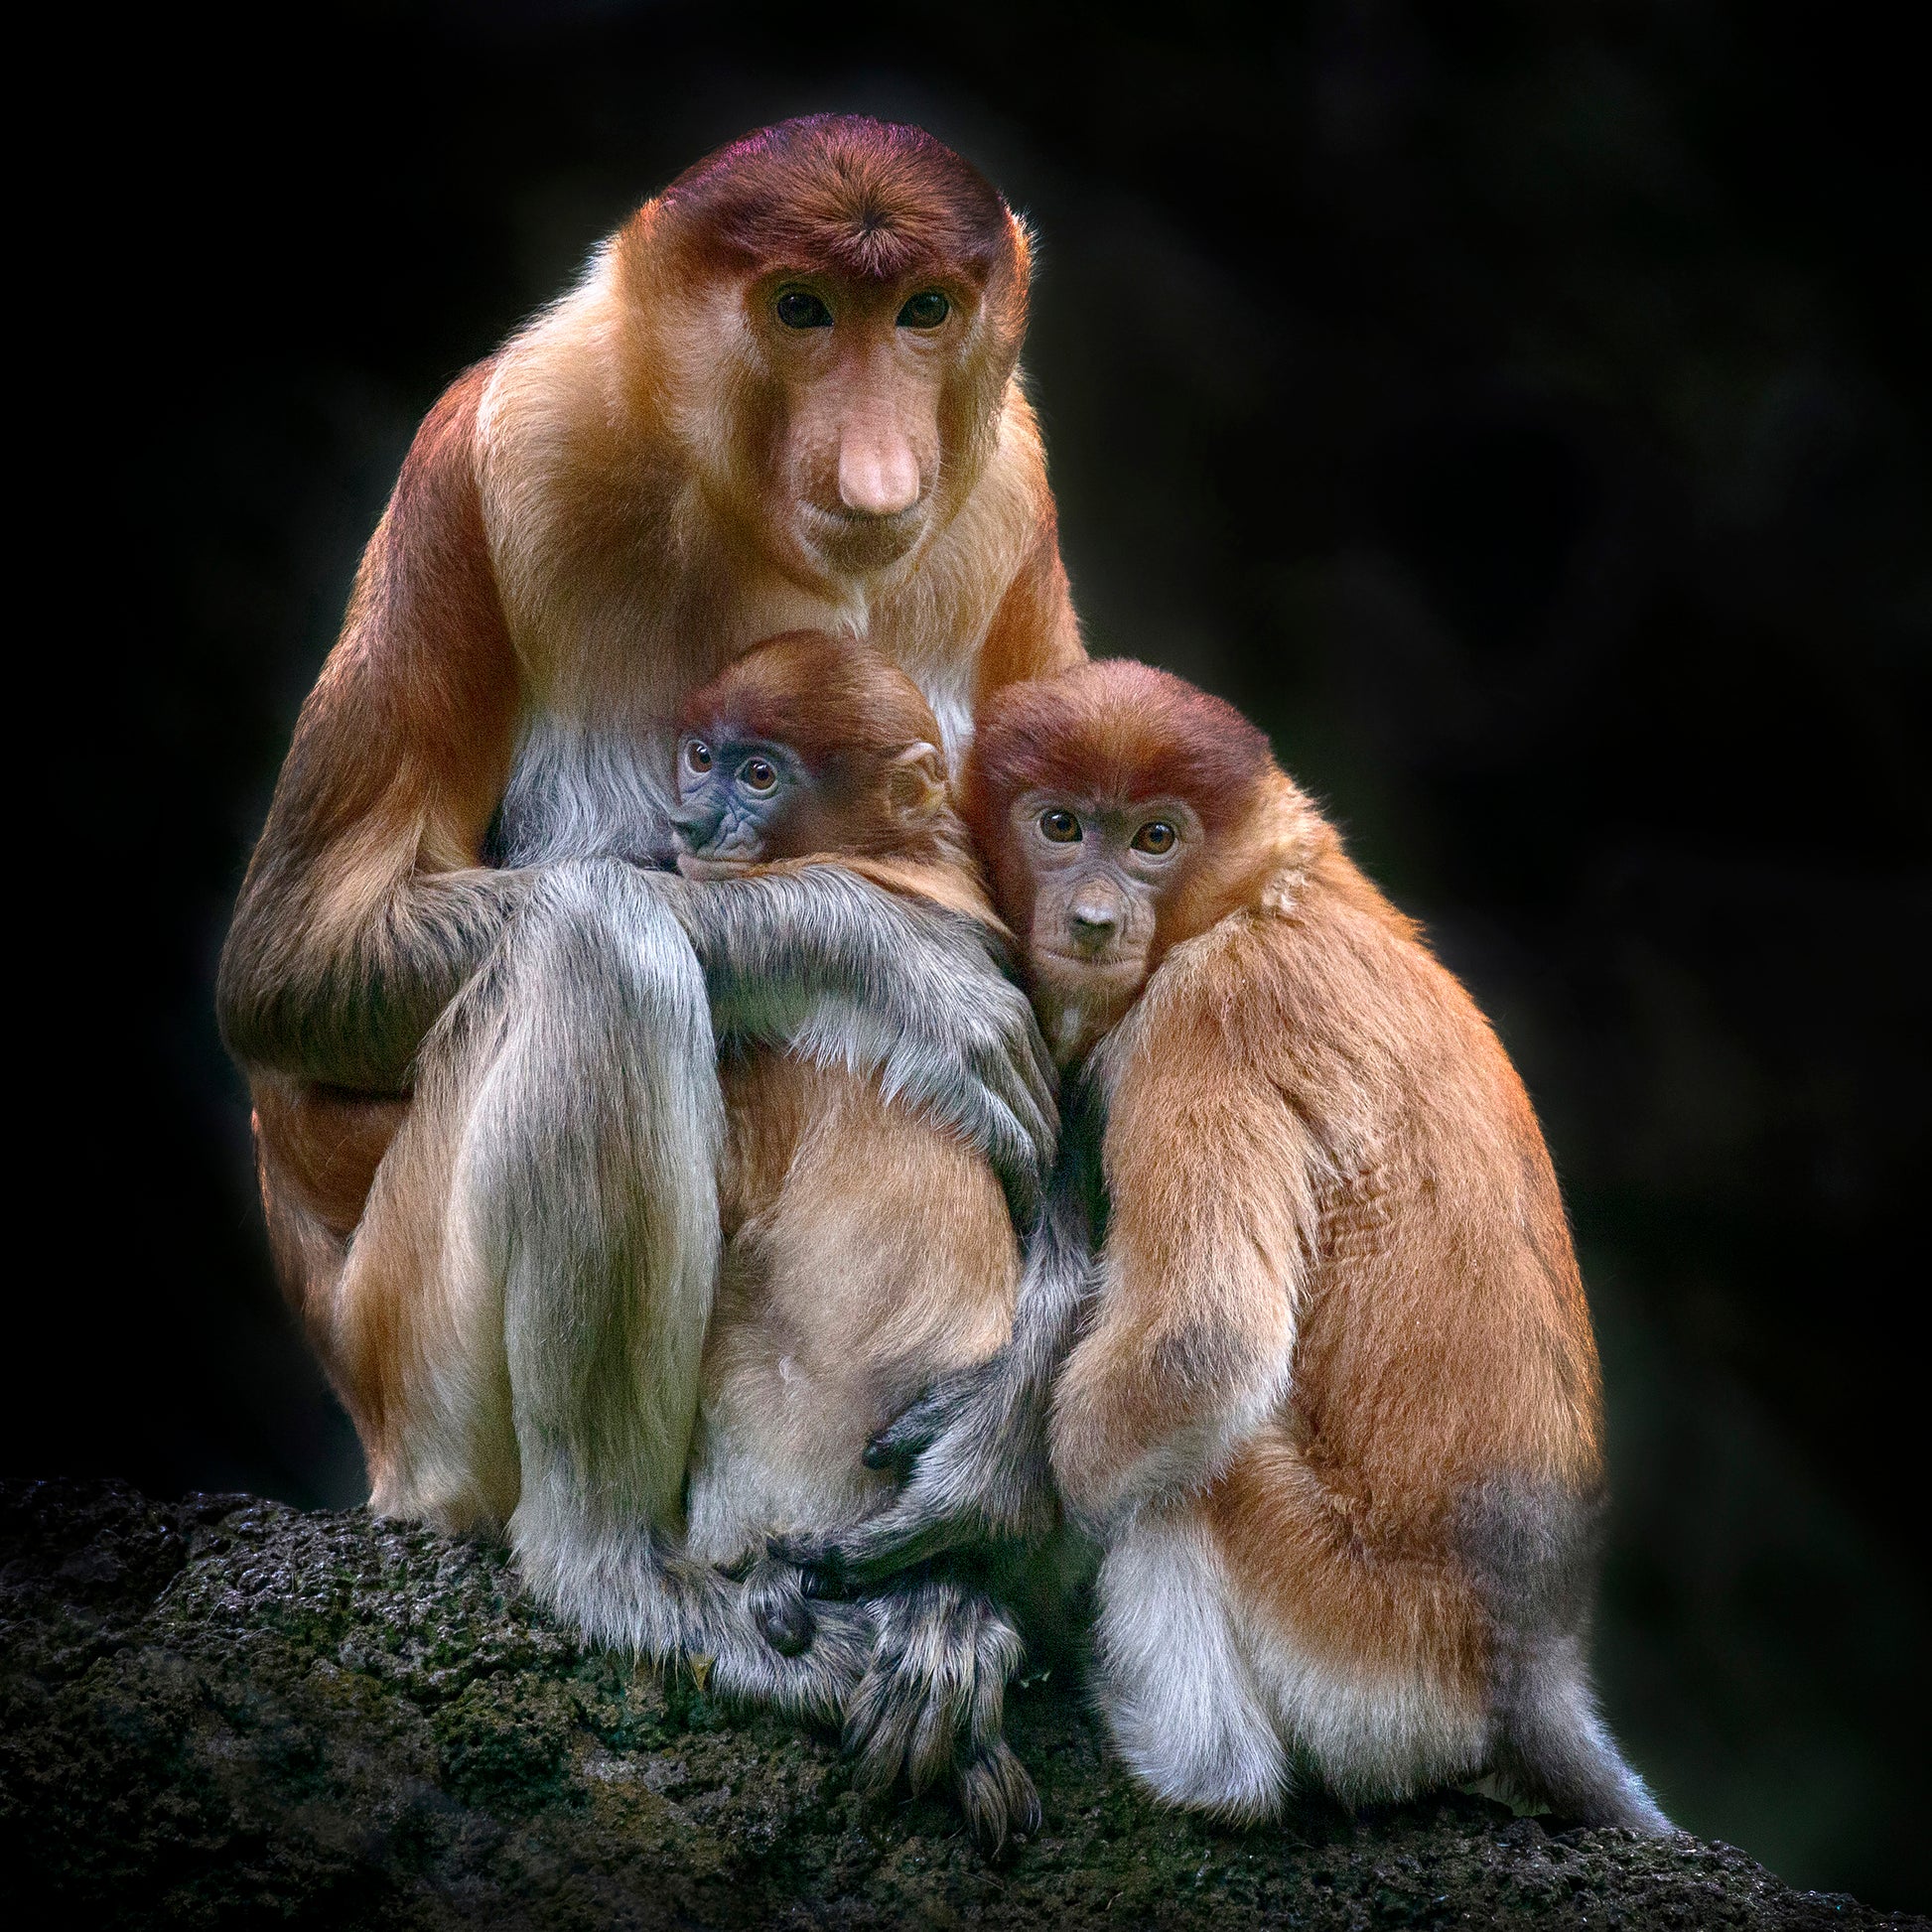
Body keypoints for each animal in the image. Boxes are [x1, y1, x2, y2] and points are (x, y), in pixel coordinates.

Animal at [215, 116, 1083, 1721]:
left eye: (922, 311)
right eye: (800, 308)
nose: (878, 471)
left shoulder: (1013, 502)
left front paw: (978, 1468)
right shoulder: (497, 454)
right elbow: (292, 964)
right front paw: (889, 963)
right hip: (413, 1368)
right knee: (601, 948)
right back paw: (619, 1571)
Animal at [800, 658, 1671, 1833]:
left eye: (1154, 838)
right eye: (1061, 825)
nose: (1092, 919)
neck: (1262, 893)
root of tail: (1528, 1659)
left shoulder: (1207, 1016)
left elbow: (1195, 1346)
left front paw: (978, 1532)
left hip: (1361, 1649)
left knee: (1190, 1475)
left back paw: (1189, 1762)